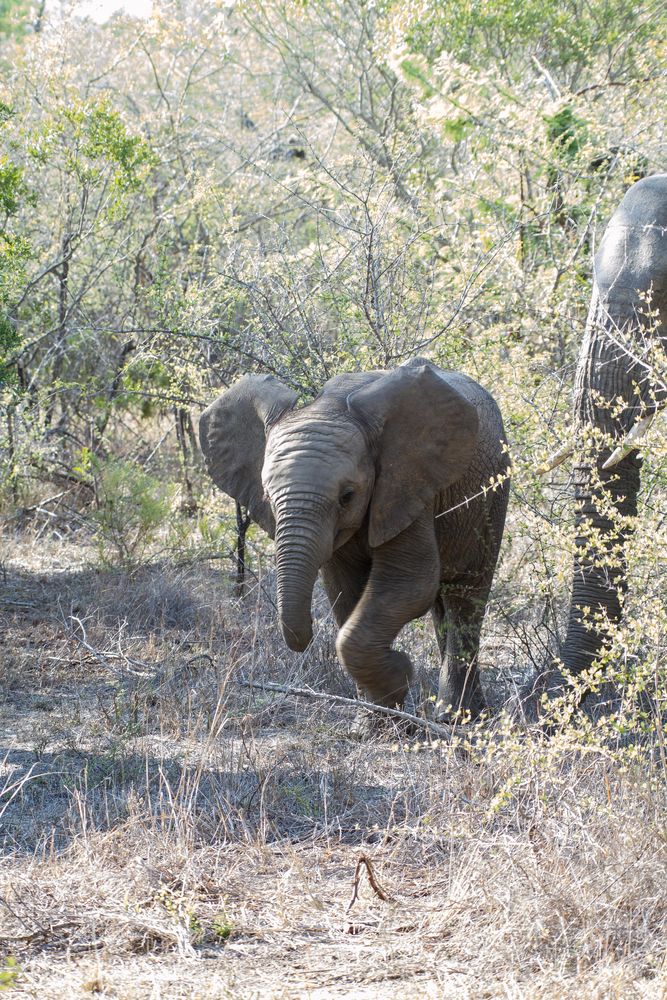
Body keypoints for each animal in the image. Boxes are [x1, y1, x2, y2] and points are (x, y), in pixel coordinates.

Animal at [201, 360, 508, 728]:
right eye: (269, 498)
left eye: (347, 496)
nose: (306, 635)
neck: (328, 405)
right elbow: (343, 589)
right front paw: (372, 722)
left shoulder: (406, 485)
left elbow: (411, 581)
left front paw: (400, 676)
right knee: (442, 607)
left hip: (491, 495)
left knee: (466, 595)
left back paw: (456, 718)